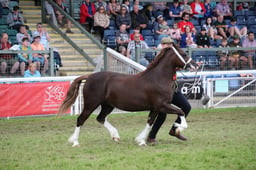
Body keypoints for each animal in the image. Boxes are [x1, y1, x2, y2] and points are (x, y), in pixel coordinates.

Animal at [58, 44, 198, 146]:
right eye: (184, 54)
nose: (196, 65)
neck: (157, 78)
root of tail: (89, 76)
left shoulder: (155, 108)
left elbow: (150, 122)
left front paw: (141, 140)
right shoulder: (162, 105)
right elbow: (181, 111)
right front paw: (178, 127)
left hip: (107, 105)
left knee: (100, 118)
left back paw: (115, 136)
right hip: (90, 104)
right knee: (80, 119)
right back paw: (75, 142)